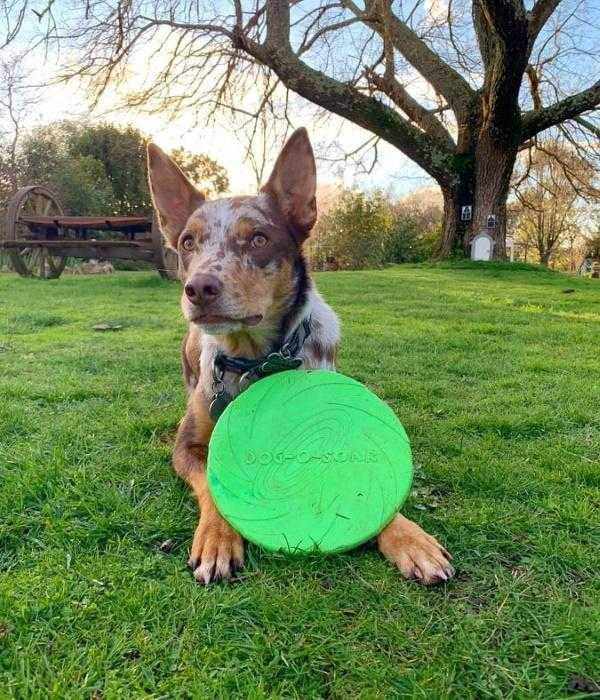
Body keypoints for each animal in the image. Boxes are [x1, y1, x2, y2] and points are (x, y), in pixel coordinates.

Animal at [148, 127, 452, 584]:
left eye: (259, 238)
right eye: (188, 242)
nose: (198, 288)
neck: (257, 358)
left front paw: (410, 538)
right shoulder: (186, 446)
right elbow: (211, 481)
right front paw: (217, 540)